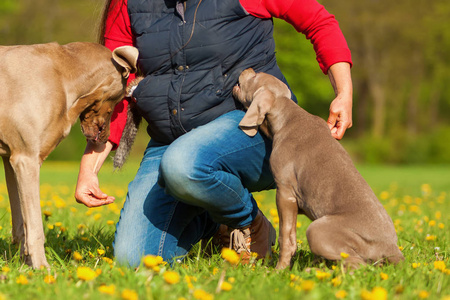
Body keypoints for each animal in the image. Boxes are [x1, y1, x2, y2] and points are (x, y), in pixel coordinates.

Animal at [0, 41, 138, 268]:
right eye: (120, 100)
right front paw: (42, 268)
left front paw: (24, 265)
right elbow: (35, 226)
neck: (66, 75)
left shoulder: (11, 158)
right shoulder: (26, 159)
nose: (106, 138)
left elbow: (22, 224)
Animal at [232, 68, 404, 270]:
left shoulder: (286, 192)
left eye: (254, 77)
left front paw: (280, 270)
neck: (287, 115)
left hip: (318, 230)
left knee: (358, 265)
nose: (247, 69)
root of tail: (392, 249)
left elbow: (286, 237)